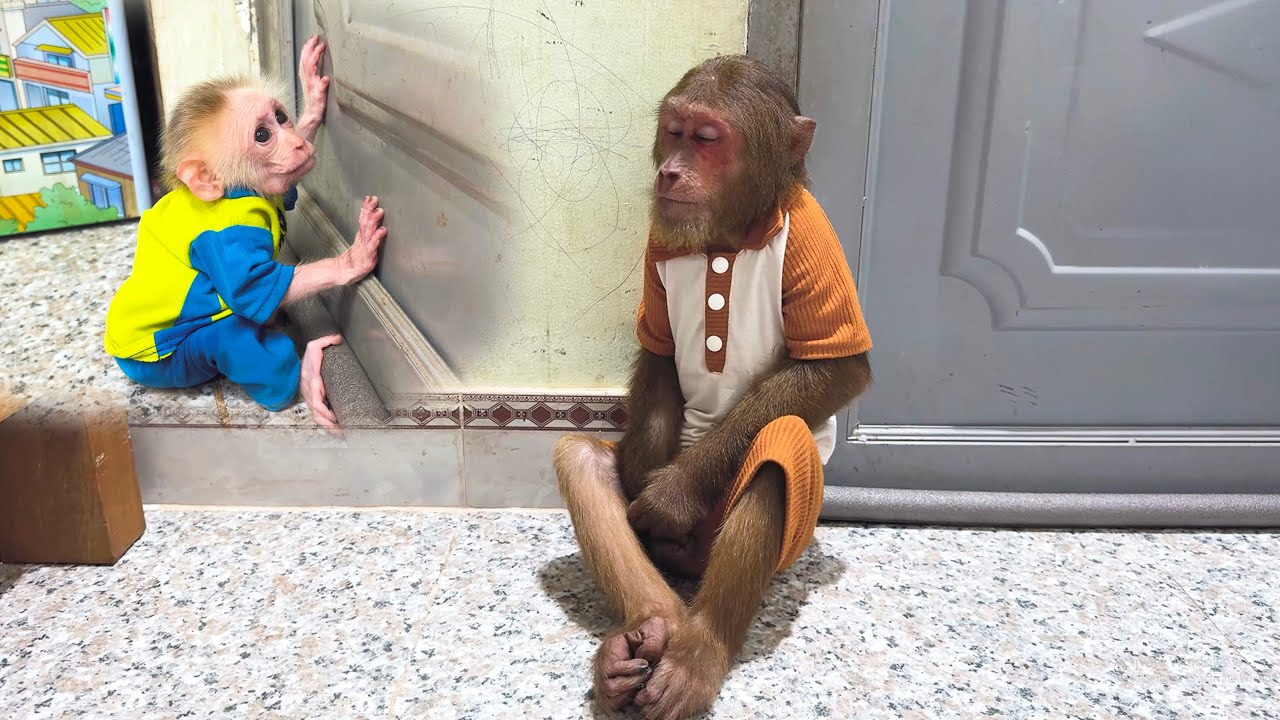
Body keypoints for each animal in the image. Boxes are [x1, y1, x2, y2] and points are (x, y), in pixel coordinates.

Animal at [103, 37, 386, 434]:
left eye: (281, 118)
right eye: (262, 136)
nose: (297, 144)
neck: (233, 190)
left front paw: (312, 99)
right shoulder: (225, 235)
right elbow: (253, 288)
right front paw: (353, 259)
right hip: (170, 366)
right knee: (229, 338)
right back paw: (307, 377)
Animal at [553, 55, 872, 720]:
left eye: (705, 138)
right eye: (674, 131)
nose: (670, 170)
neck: (728, 236)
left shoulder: (814, 236)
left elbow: (839, 369)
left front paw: (672, 492)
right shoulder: (660, 241)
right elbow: (660, 353)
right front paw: (643, 474)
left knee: (781, 448)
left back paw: (699, 651)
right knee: (582, 461)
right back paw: (647, 629)